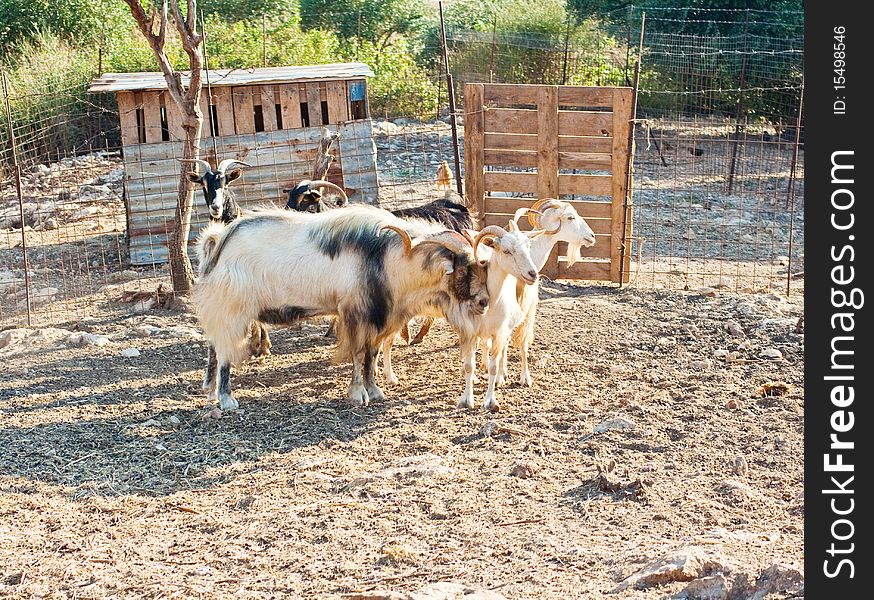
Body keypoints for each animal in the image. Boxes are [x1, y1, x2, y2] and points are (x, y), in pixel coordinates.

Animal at [192, 204, 488, 410]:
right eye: (465, 268)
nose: (484, 302)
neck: (388, 259)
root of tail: (217, 242)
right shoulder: (355, 315)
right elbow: (357, 355)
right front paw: (358, 394)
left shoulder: (376, 320)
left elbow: (372, 356)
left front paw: (375, 391)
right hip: (232, 311)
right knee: (224, 352)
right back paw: (226, 399)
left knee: (214, 347)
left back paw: (209, 389)